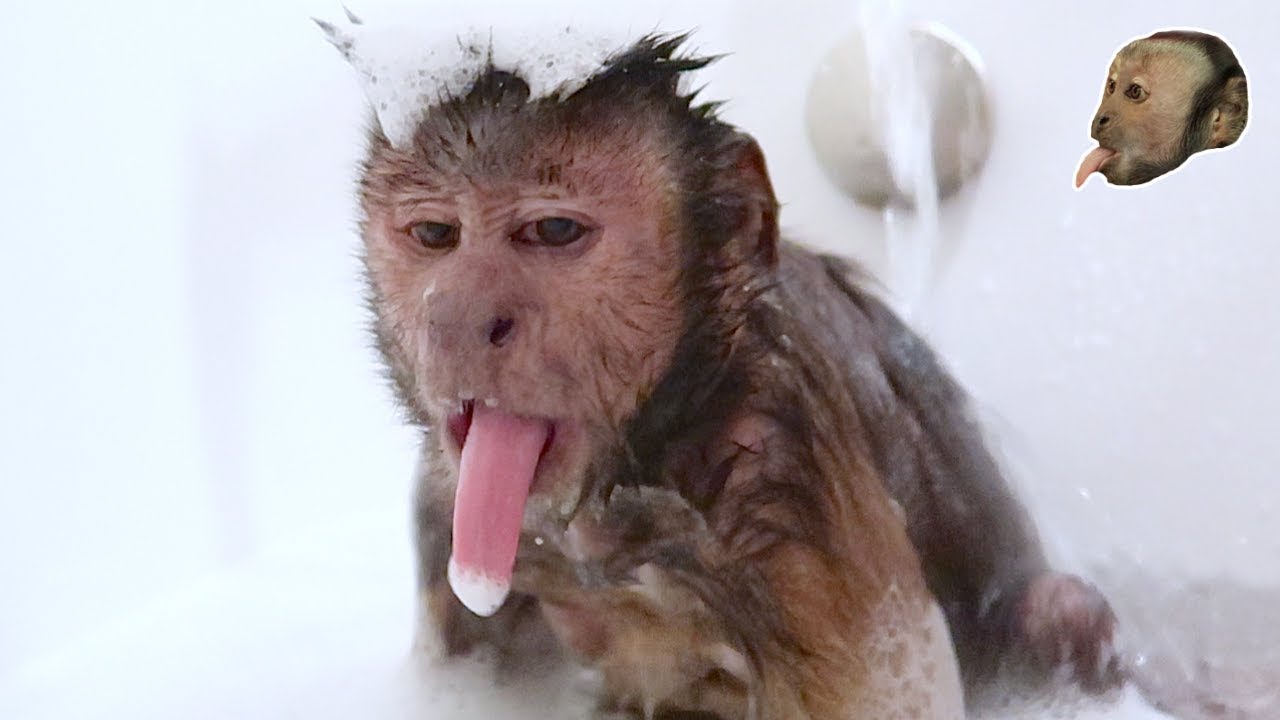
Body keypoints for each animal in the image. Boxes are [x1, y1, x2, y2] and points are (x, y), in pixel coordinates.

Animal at [327, 25, 1123, 719]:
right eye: (435, 234)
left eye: (552, 231)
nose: (456, 319)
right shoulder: (447, 503)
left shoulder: (785, 487)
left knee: (1063, 611)